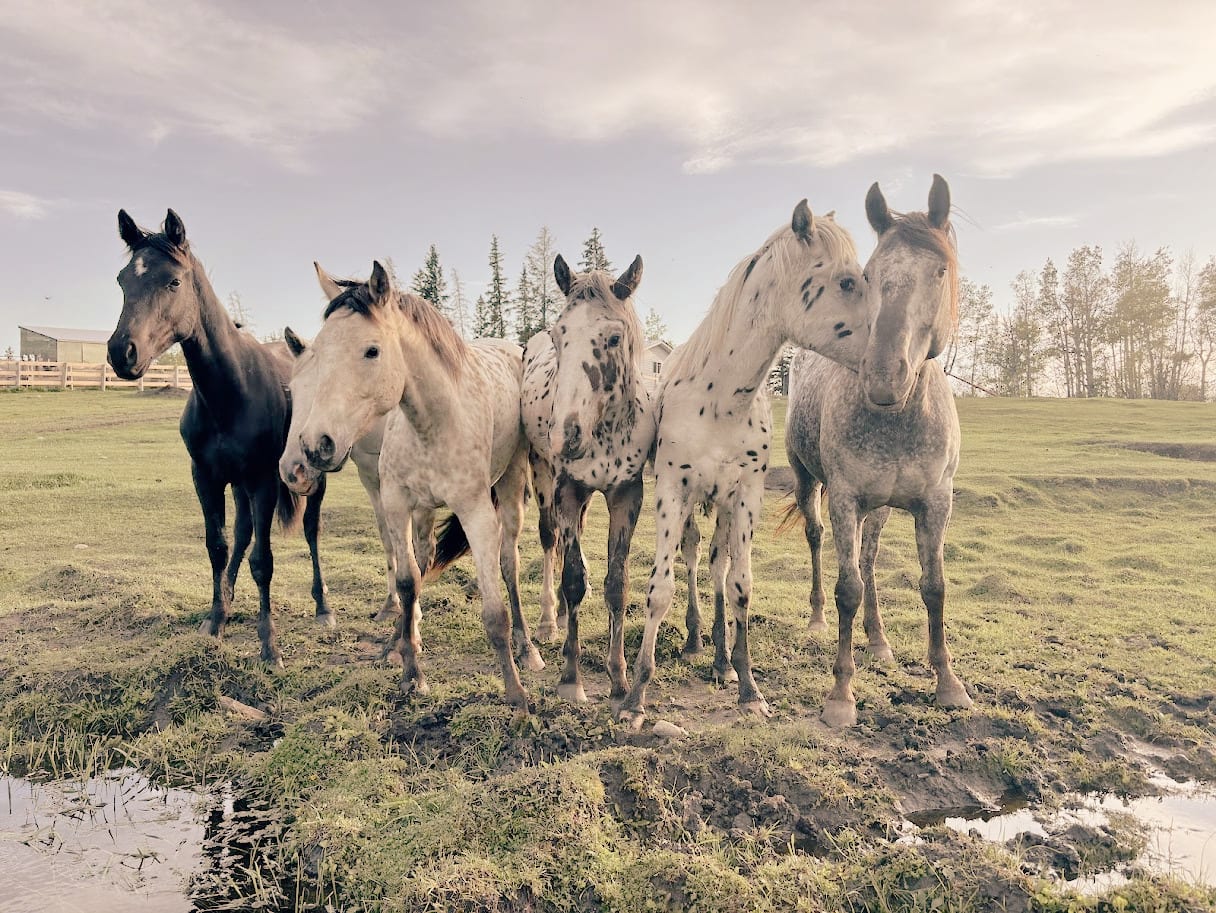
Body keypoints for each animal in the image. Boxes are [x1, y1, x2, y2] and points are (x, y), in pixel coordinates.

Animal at [106, 209, 332, 667]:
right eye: (122, 280)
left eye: (173, 281)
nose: (123, 352)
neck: (232, 390)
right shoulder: (207, 478)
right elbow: (219, 546)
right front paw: (215, 621)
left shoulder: (263, 480)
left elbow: (264, 561)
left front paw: (270, 646)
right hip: (239, 484)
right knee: (242, 533)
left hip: (307, 479)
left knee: (311, 529)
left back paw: (323, 607)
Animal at [279, 261, 543, 707]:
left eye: (372, 350)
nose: (315, 446)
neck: (432, 423)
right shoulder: (398, 505)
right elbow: (407, 582)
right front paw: (411, 672)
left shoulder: (476, 514)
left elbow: (494, 611)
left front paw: (515, 693)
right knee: (424, 561)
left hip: (510, 484)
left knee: (510, 564)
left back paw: (527, 650)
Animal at [521, 253, 652, 703]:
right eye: (559, 336)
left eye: (613, 338)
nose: (564, 436)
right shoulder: (567, 488)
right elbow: (573, 578)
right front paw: (571, 678)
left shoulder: (626, 494)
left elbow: (618, 583)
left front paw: (619, 678)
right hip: (542, 474)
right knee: (552, 540)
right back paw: (549, 620)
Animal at [617, 200, 870, 730]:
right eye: (845, 282)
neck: (719, 401)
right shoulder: (672, 492)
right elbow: (660, 588)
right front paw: (636, 697)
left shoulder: (745, 497)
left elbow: (739, 585)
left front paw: (748, 686)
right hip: (692, 505)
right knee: (694, 558)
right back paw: (695, 640)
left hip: (723, 507)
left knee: (716, 565)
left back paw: (719, 659)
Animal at [783, 174, 972, 727]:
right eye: (868, 275)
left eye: (940, 270)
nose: (883, 378)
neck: (898, 419)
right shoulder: (845, 498)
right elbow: (847, 588)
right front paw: (841, 695)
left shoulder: (936, 502)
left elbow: (933, 586)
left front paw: (948, 682)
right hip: (808, 482)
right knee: (820, 542)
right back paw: (817, 619)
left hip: (882, 508)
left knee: (867, 561)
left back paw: (878, 639)